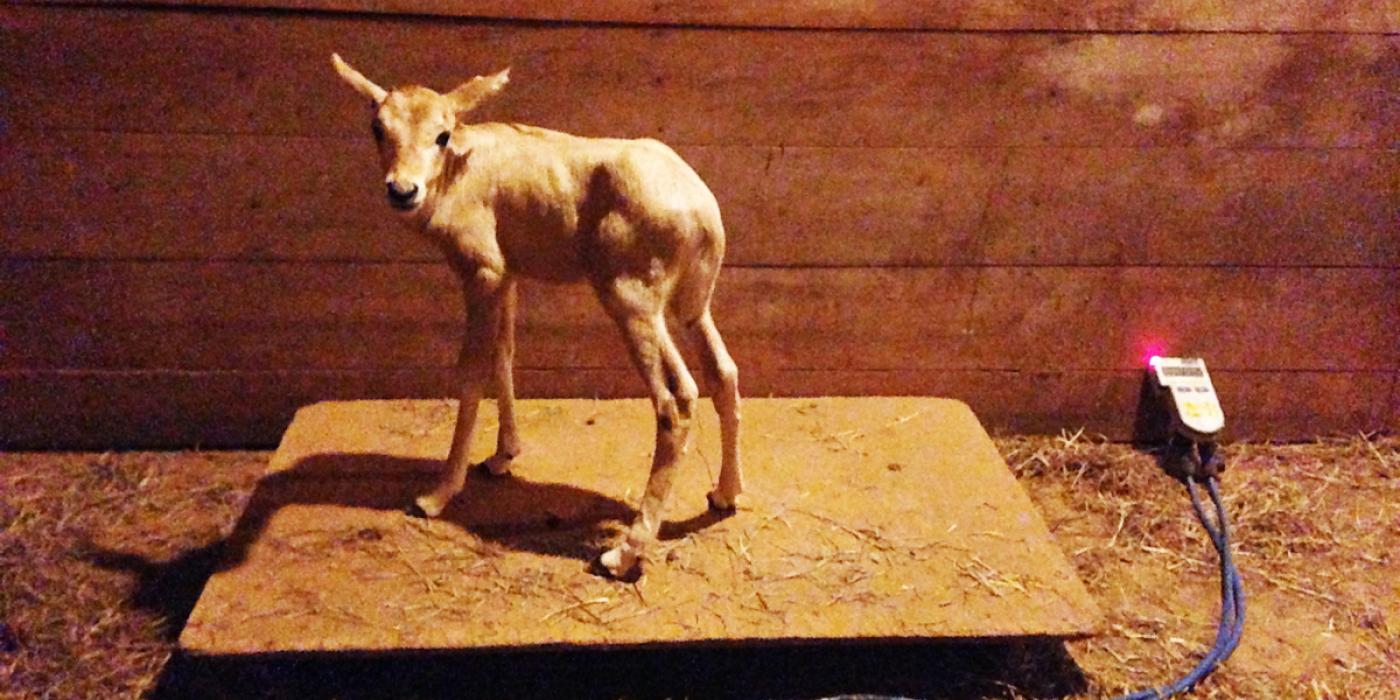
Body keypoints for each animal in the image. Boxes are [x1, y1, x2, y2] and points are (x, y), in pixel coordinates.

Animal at [331, 54, 744, 579]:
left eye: (442, 134)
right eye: (377, 126)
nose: (403, 190)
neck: (464, 167)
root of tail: (703, 211)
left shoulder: (482, 274)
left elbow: (471, 373)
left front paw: (435, 495)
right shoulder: (508, 278)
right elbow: (504, 357)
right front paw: (502, 457)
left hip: (631, 304)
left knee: (677, 399)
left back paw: (622, 553)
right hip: (689, 307)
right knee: (723, 373)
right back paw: (724, 494)